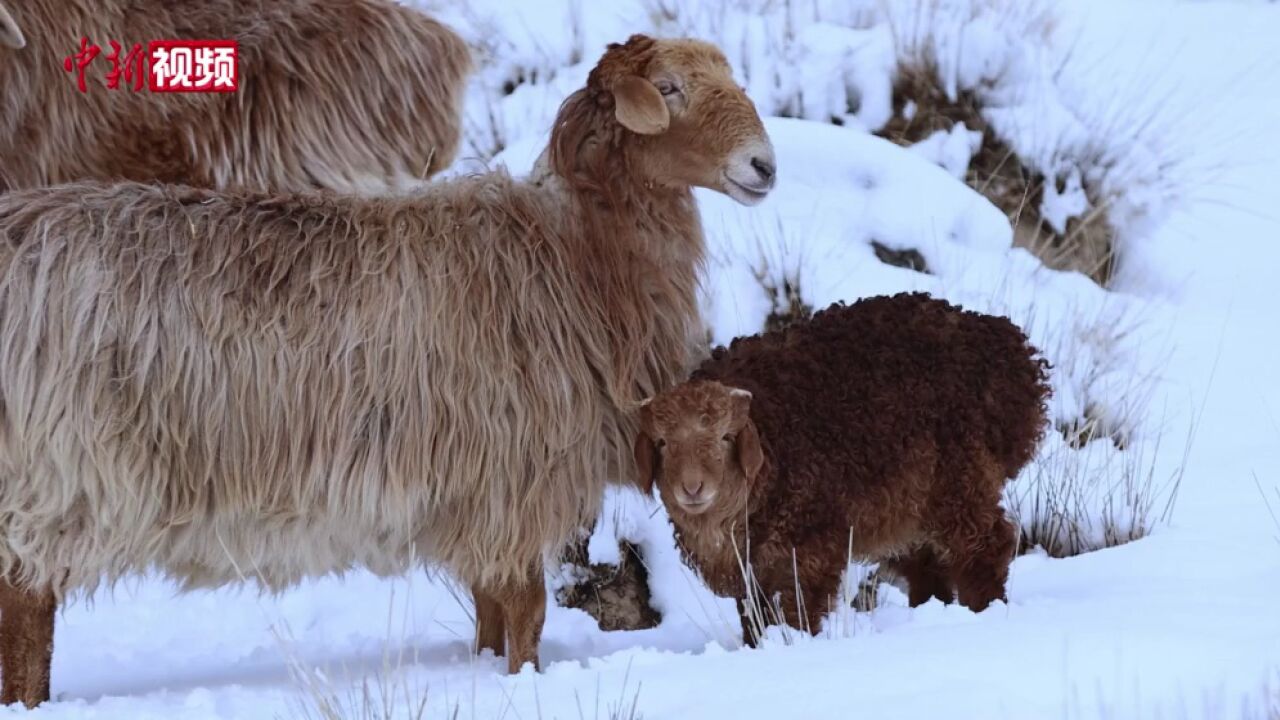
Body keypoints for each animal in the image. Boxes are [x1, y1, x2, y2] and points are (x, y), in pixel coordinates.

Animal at [0, 35, 773, 707]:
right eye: (668, 88)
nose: (764, 165)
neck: (576, 251)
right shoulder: (512, 479)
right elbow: (525, 613)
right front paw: (523, 684)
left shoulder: (479, 493)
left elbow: (492, 616)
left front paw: (486, 671)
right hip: (53, 473)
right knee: (26, 608)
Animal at [632, 293, 1049, 645]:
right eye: (663, 443)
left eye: (724, 438)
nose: (693, 488)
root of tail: (1015, 359)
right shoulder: (752, 569)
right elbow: (754, 617)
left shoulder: (810, 547)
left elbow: (799, 610)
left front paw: (795, 645)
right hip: (906, 502)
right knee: (928, 565)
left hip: (960, 477)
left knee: (985, 546)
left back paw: (985, 610)